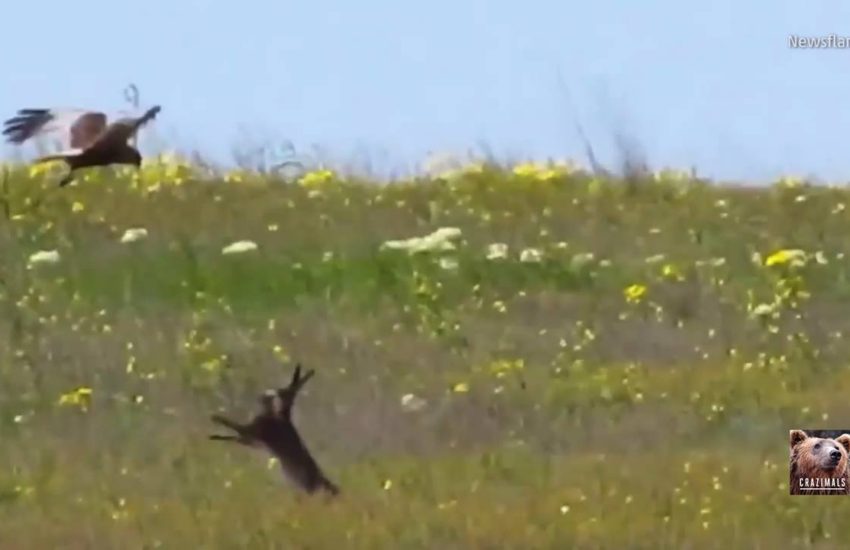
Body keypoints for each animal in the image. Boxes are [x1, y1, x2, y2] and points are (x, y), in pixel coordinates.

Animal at [209, 364, 340, 496]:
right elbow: (237, 436)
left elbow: (235, 427)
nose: (263, 395)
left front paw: (217, 419)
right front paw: (216, 433)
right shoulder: (255, 438)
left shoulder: (255, 431)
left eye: (271, 396)